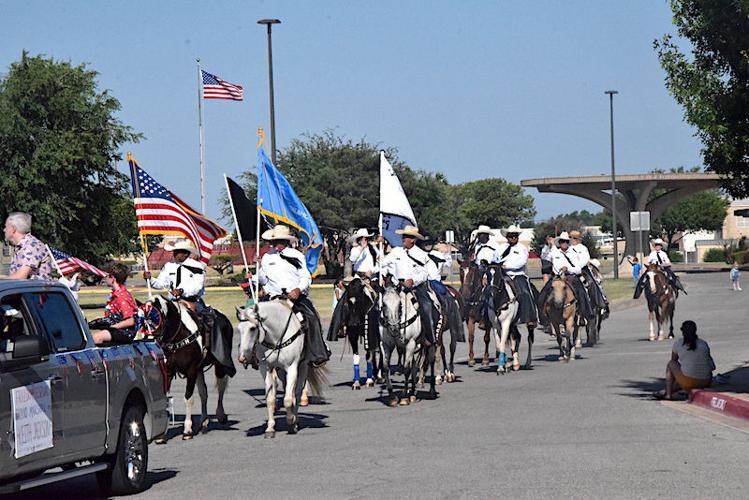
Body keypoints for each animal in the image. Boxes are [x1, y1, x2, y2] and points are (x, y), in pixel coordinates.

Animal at [149, 294, 234, 440]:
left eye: (157, 317)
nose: (153, 341)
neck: (178, 337)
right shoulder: (169, 371)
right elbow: (166, 398)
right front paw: (162, 435)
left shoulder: (191, 371)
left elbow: (188, 398)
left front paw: (187, 430)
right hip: (200, 370)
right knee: (204, 393)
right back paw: (204, 422)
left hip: (219, 365)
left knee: (221, 387)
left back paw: (220, 414)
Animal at [235, 300, 326, 438]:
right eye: (239, 329)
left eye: (252, 328)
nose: (242, 358)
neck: (276, 335)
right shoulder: (266, 369)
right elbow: (270, 399)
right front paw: (270, 429)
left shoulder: (292, 367)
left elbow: (288, 399)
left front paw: (291, 422)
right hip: (280, 371)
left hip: (303, 367)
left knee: (297, 393)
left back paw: (296, 419)